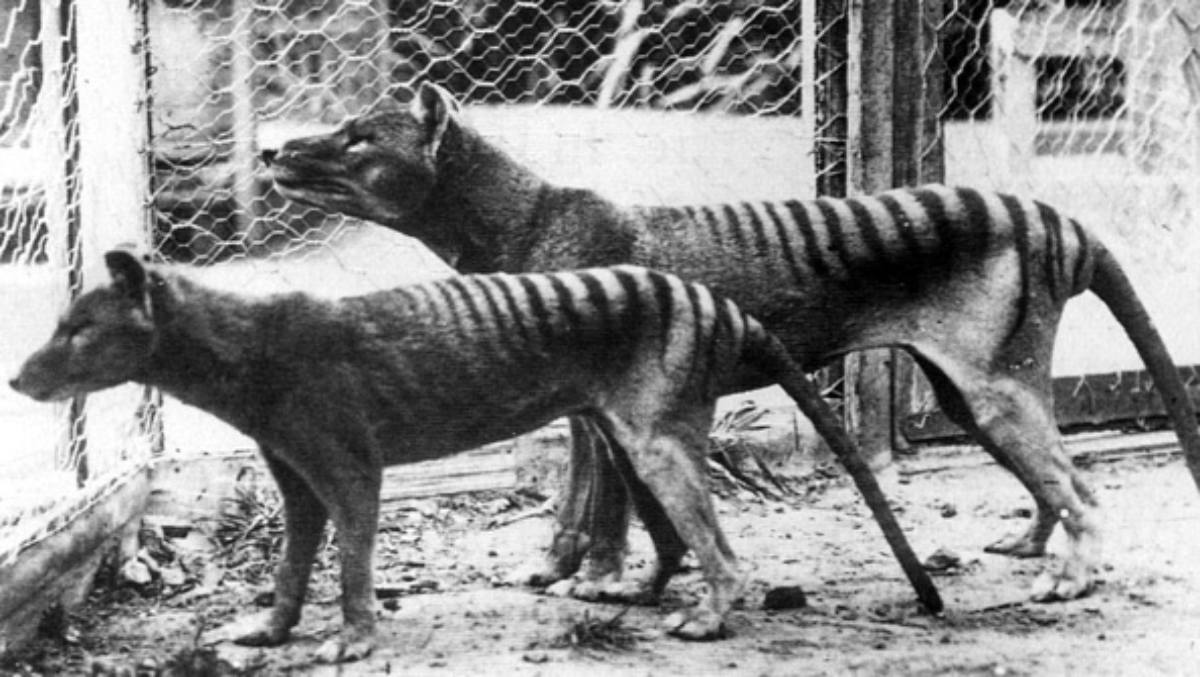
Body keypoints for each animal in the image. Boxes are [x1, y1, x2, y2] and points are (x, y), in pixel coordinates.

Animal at [10, 250, 937, 664]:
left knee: (723, 549)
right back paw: (636, 591)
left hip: (657, 437)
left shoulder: (349, 464)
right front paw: (271, 628)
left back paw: (711, 615)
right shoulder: (294, 475)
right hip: (627, 434)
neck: (247, 345)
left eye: (79, 327)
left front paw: (353, 638)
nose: (16, 377)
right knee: (674, 536)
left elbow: (352, 562)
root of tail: (719, 303)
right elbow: (291, 562)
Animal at [261, 82, 1200, 604]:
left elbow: (605, 502)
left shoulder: (608, 399)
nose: (271, 150)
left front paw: (598, 577)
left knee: (1082, 484)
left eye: (358, 136)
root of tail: (1055, 219)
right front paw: (555, 567)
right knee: (1054, 478)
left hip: (996, 386)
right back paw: (1036, 544)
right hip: (961, 393)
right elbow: (573, 497)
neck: (526, 217)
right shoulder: (579, 407)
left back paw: (1071, 576)